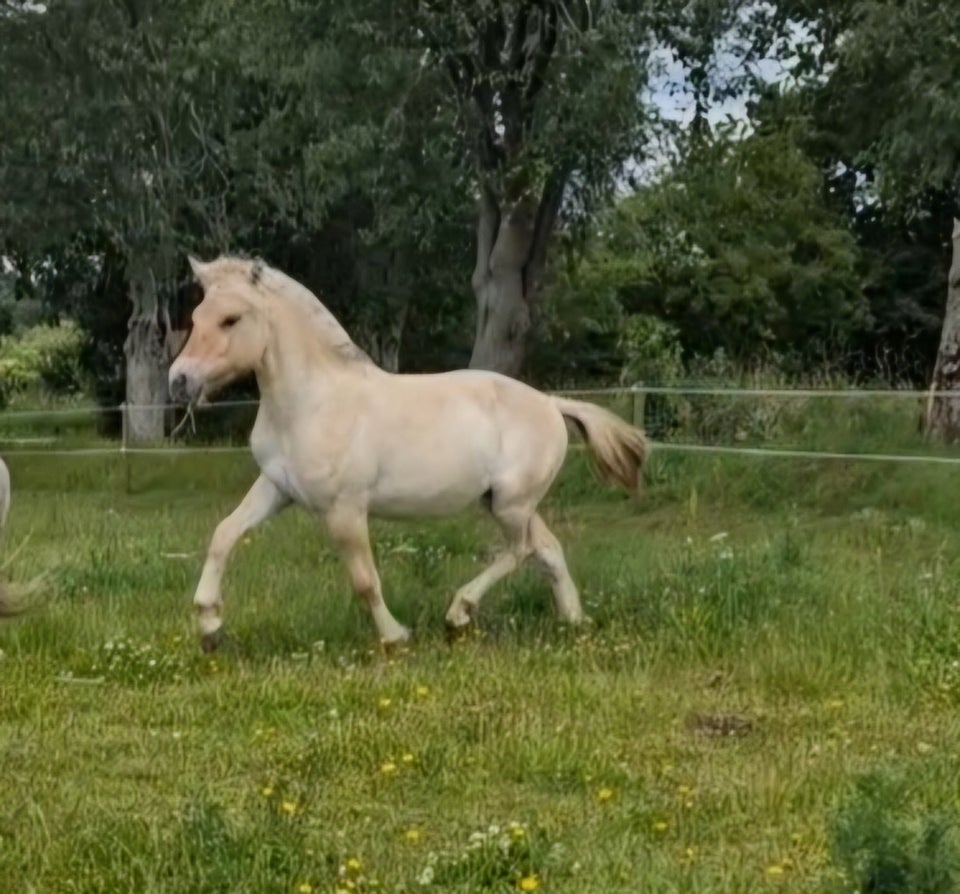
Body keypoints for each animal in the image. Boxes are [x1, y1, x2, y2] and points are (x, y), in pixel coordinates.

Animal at [169, 256, 648, 656]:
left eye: (231, 319)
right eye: (196, 317)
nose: (180, 380)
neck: (314, 402)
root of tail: (550, 403)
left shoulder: (344, 509)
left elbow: (365, 580)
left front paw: (395, 636)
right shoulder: (276, 489)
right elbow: (223, 535)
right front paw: (209, 627)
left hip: (511, 505)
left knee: (521, 550)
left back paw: (459, 614)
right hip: (508, 503)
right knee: (547, 549)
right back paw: (574, 622)